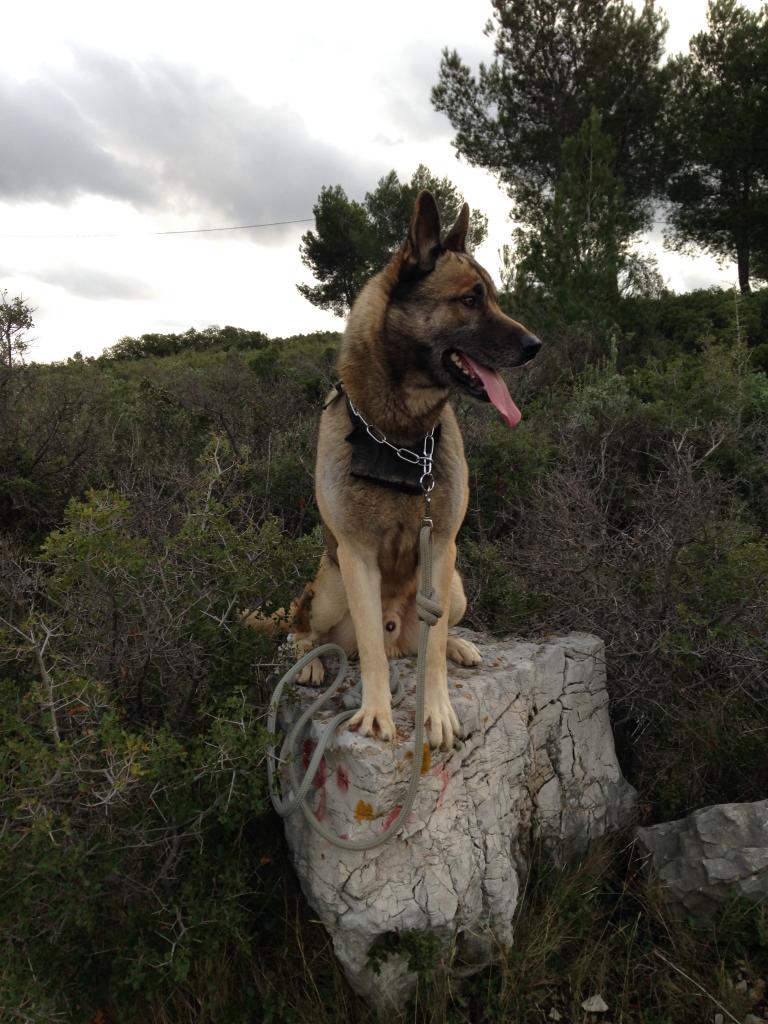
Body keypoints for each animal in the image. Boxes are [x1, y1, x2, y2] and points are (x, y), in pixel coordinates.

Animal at [252, 192, 540, 749]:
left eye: (494, 298)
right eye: (470, 300)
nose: (536, 345)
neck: (401, 440)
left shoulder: (442, 547)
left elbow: (433, 650)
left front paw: (438, 710)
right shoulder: (358, 556)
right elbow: (366, 649)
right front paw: (376, 712)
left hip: (456, 589)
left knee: (432, 636)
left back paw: (457, 646)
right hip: (330, 587)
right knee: (306, 626)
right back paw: (310, 660)